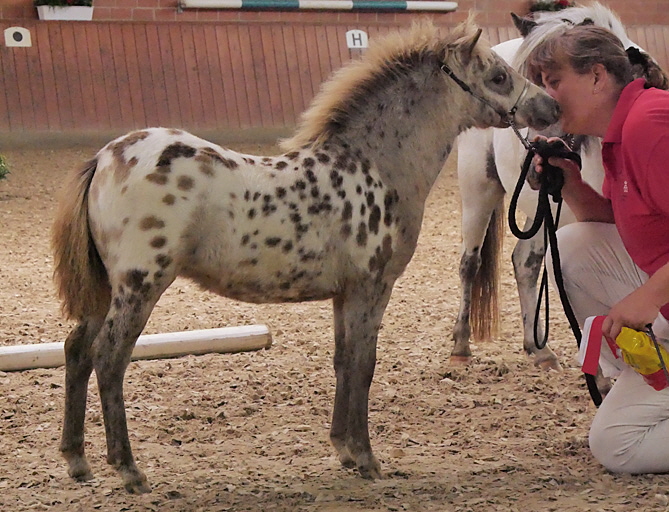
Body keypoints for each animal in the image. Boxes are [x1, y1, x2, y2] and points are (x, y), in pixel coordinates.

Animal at [454, 3, 636, 368]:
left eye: (554, 82)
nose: (537, 146)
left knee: (524, 261)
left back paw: (538, 348)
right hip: (479, 189)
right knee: (470, 263)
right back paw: (461, 345)